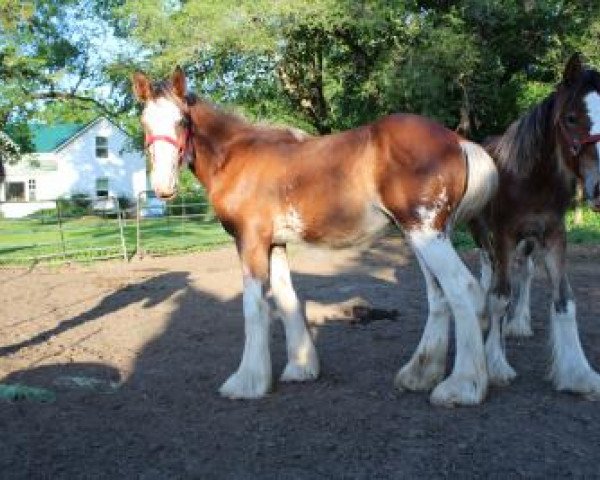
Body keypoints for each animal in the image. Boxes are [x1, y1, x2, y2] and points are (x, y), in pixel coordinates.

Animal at [135, 66, 496, 404]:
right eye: (145, 122)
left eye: (182, 120)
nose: (164, 187)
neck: (236, 156)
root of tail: (458, 141)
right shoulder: (275, 243)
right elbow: (287, 299)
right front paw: (301, 367)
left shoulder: (250, 241)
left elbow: (254, 307)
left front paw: (247, 382)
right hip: (421, 234)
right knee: (439, 296)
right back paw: (420, 375)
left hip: (426, 233)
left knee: (464, 289)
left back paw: (462, 387)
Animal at [472, 53, 600, 398]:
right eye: (571, 118)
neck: (531, 179)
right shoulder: (503, 234)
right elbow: (499, 296)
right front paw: (496, 364)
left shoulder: (554, 235)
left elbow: (564, 300)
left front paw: (578, 373)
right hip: (482, 231)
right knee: (487, 267)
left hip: (528, 241)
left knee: (524, 272)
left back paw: (519, 323)